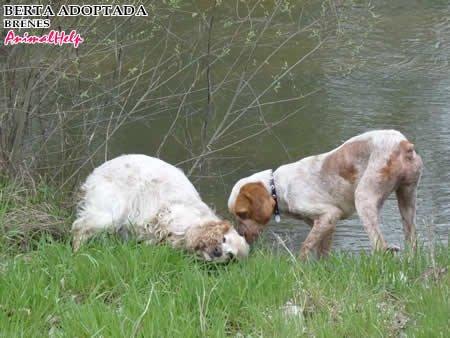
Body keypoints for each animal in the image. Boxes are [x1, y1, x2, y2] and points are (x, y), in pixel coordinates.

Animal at [73, 154, 250, 262]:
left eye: (230, 256)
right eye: (223, 239)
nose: (218, 252)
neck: (196, 221)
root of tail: (98, 170)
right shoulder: (168, 218)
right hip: (111, 214)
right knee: (79, 227)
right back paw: (78, 253)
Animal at [229, 130, 422, 258]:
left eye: (242, 214)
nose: (241, 235)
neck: (278, 187)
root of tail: (403, 144)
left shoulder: (329, 214)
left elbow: (305, 247)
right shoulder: (325, 224)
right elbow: (322, 253)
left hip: (364, 199)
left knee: (380, 246)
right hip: (407, 201)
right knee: (412, 241)